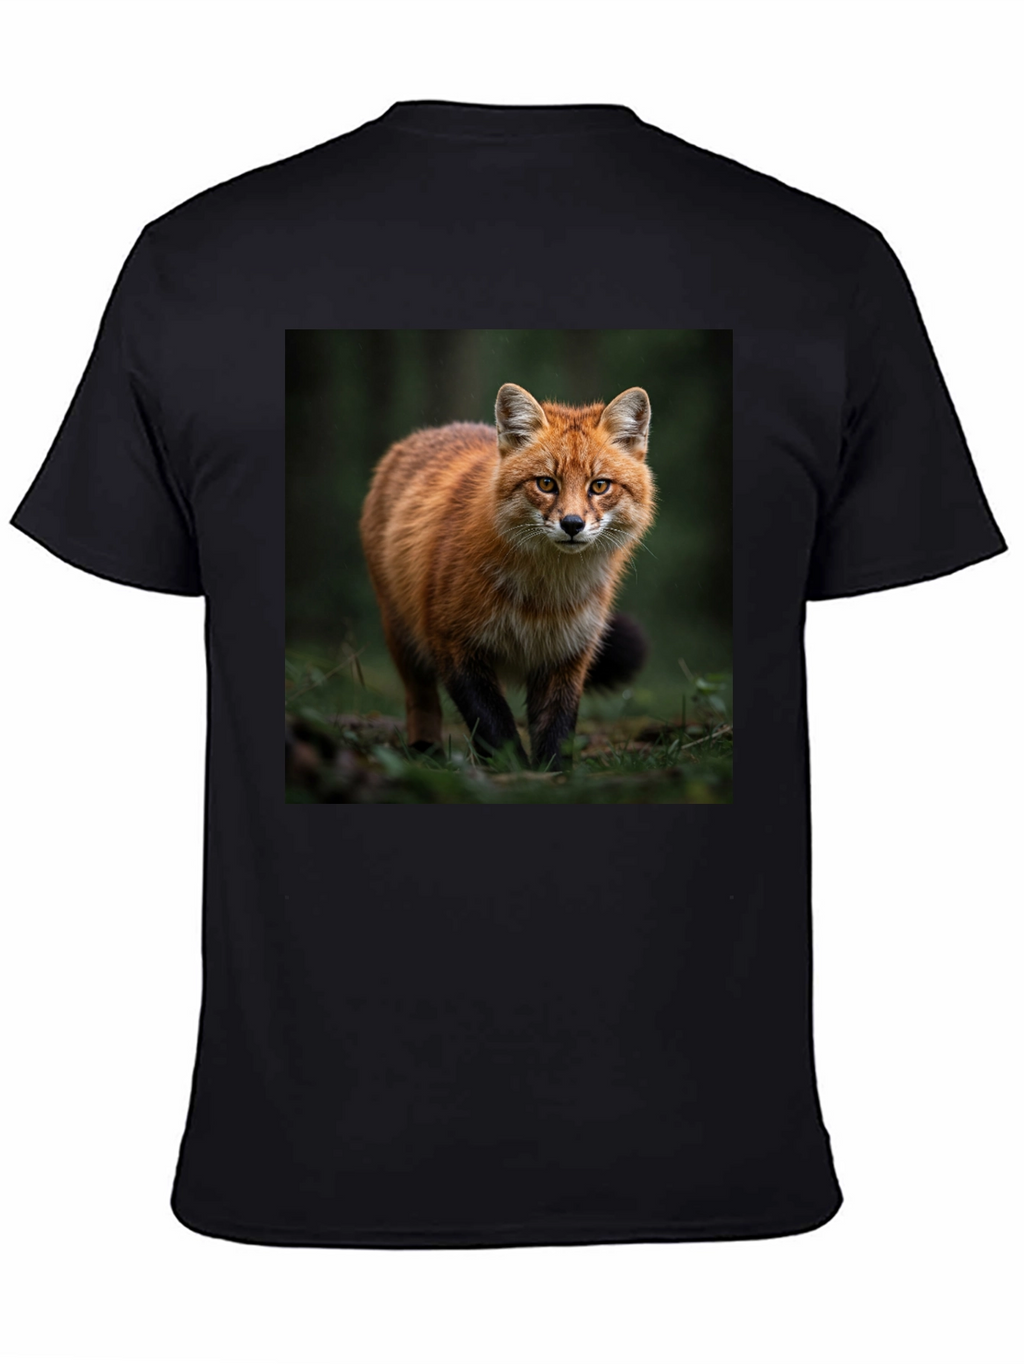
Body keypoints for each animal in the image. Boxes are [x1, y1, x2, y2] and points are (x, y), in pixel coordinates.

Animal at [359, 382, 657, 769]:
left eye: (599, 486)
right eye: (546, 483)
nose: (572, 524)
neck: (542, 601)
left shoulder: (567, 653)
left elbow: (556, 728)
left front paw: (552, 774)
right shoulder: (453, 644)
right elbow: (494, 725)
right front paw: (514, 772)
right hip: (402, 635)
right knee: (421, 700)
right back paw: (426, 750)